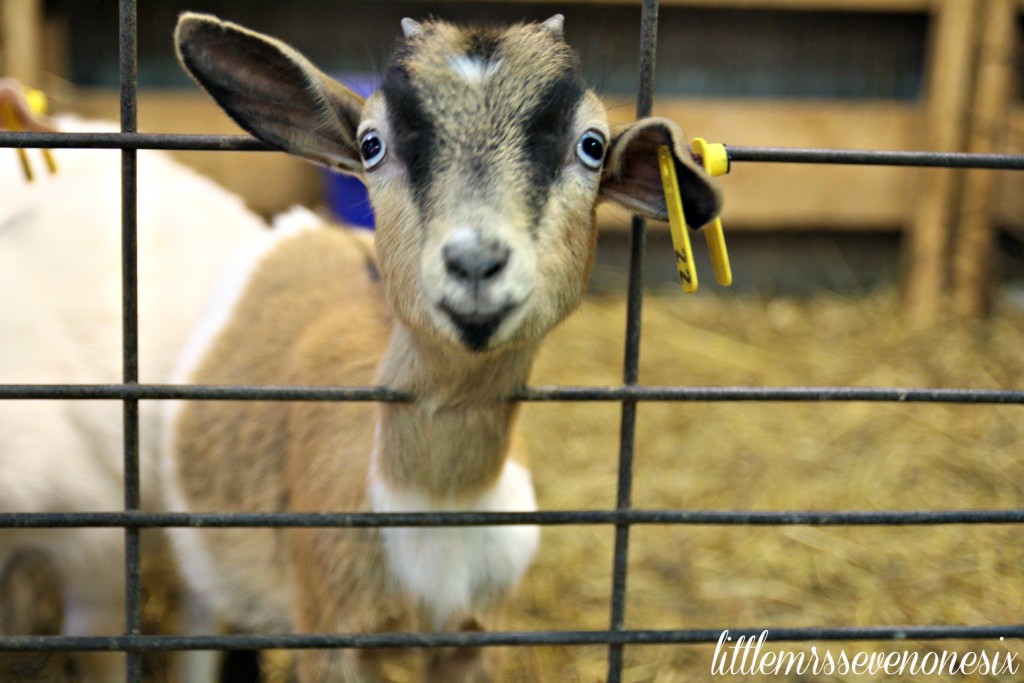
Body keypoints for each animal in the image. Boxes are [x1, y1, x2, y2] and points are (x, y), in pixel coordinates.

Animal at [165, 12, 720, 683]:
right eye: (371, 145)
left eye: (591, 146)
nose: (475, 261)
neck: (440, 500)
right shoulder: (328, 634)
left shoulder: (473, 638)